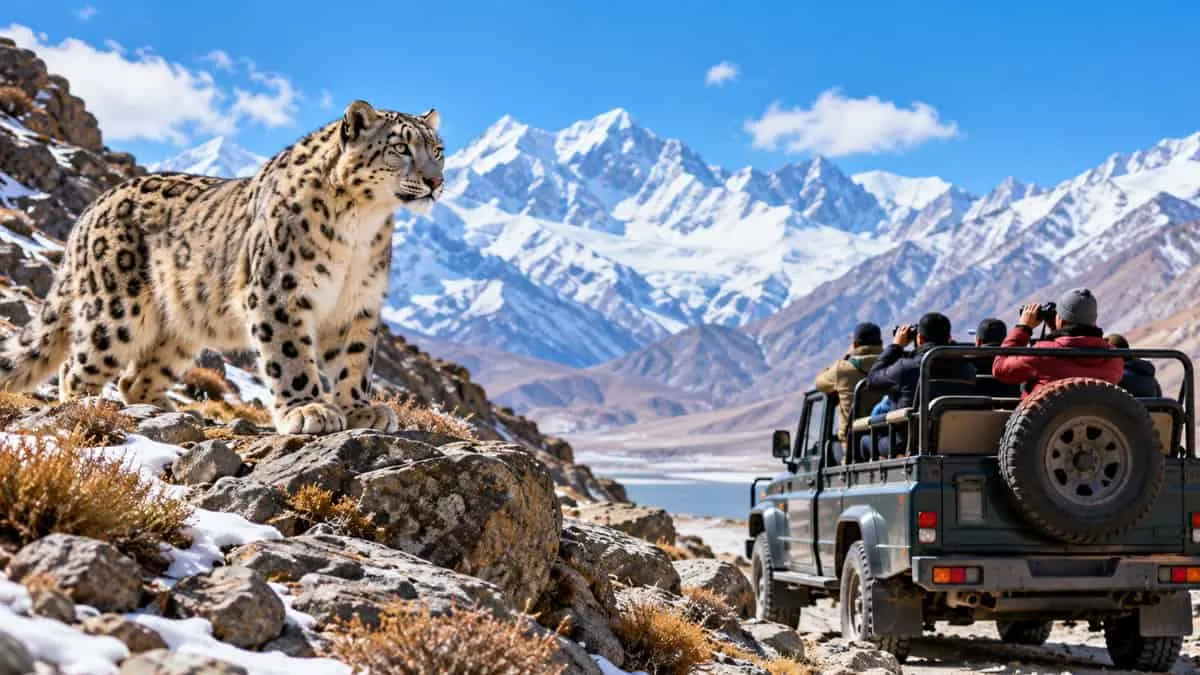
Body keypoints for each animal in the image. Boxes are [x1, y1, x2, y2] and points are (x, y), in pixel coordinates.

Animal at [0, 100, 444, 435]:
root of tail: (89, 210)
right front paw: (308, 409)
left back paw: (168, 409)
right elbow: (290, 355)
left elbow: (354, 359)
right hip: (116, 312)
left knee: (135, 376)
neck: (361, 224)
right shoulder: (278, 290)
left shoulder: (358, 303)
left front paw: (358, 409)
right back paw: (88, 409)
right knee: (77, 368)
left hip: (179, 330)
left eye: (437, 150)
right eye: (401, 148)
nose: (435, 182)